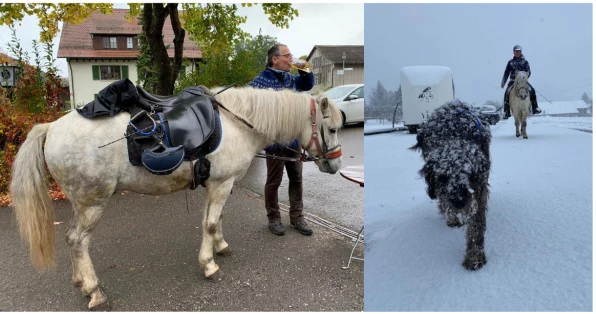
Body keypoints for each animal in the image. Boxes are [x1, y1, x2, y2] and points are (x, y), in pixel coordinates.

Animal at [9, 86, 342, 310]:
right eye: (332, 128)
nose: (336, 165)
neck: (237, 122)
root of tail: (52, 127)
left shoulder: (216, 185)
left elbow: (214, 220)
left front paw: (220, 247)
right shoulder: (222, 184)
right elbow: (210, 223)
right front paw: (209, 264)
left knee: (70, 239)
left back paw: (80, 282)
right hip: (93, 204)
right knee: (79, 241)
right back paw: (94, 291)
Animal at [410, 99, 494, 272]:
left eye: (470, 174)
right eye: (443, 177)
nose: (459, 202)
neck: (454, 135)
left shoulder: (479, 189)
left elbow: (476, 222)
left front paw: (475, 256)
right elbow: (443, 199)